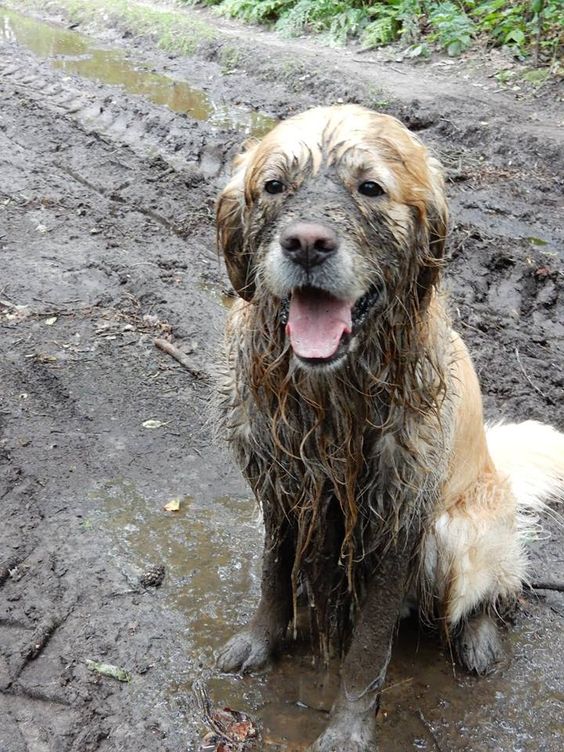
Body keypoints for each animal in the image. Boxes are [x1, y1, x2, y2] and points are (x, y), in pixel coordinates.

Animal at [215, 106, 564, 752]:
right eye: (274, 186)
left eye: (370, 188)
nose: (306, 244)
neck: (332, 399)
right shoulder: (281, 490)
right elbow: (272, 577)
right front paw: (259, 641)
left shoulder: (398, 516)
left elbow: (368, 647)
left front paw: (348, 726)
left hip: (457, 529)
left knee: (495, 590)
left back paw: (478, 638)